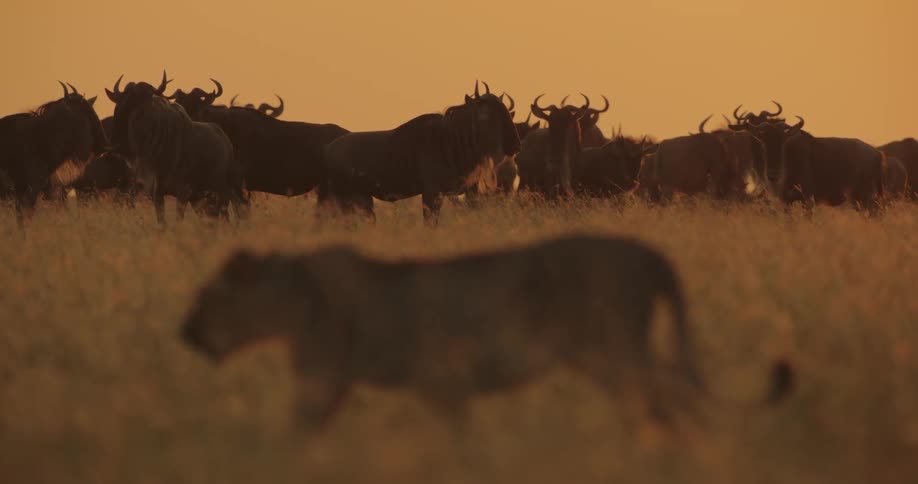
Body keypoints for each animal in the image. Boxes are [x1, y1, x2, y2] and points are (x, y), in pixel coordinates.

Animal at [180, 235, 793, 433]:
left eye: (207, 297)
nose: (184, 332)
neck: (291, 293)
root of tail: (649, 253)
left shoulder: (326, 378)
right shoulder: (433, 385)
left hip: (612, 348)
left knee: (669, 394)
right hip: (608, 354)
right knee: (669, 394)